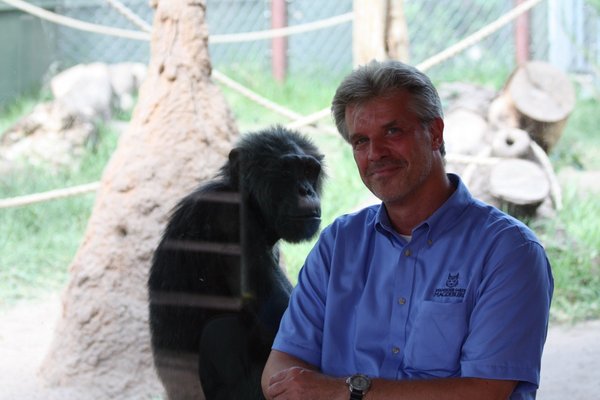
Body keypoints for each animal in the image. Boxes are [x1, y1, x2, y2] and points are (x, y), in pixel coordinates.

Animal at [148, 126, 326, 400]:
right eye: (287, 171)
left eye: (309, 170)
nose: (306, 190)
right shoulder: (232, 223)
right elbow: (279, 320)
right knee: (222, 330)